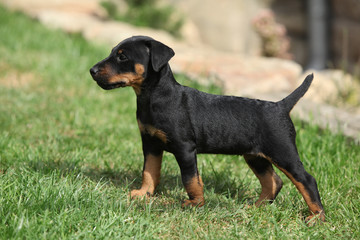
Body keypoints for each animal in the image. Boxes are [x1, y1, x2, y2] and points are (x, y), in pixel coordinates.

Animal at [89, 35, 324, 223]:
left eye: (122, 57)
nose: (92, 71)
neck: (153, 96)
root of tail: (281, 105)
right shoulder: (150, 144)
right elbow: (149, 171)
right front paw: (144, 194)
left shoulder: (184, 148)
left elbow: (191, 179)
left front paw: (196, 204)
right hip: (255, 156)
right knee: (273, 181)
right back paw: (256, 207)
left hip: (283, 151)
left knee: (306, 179)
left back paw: (316, 217)